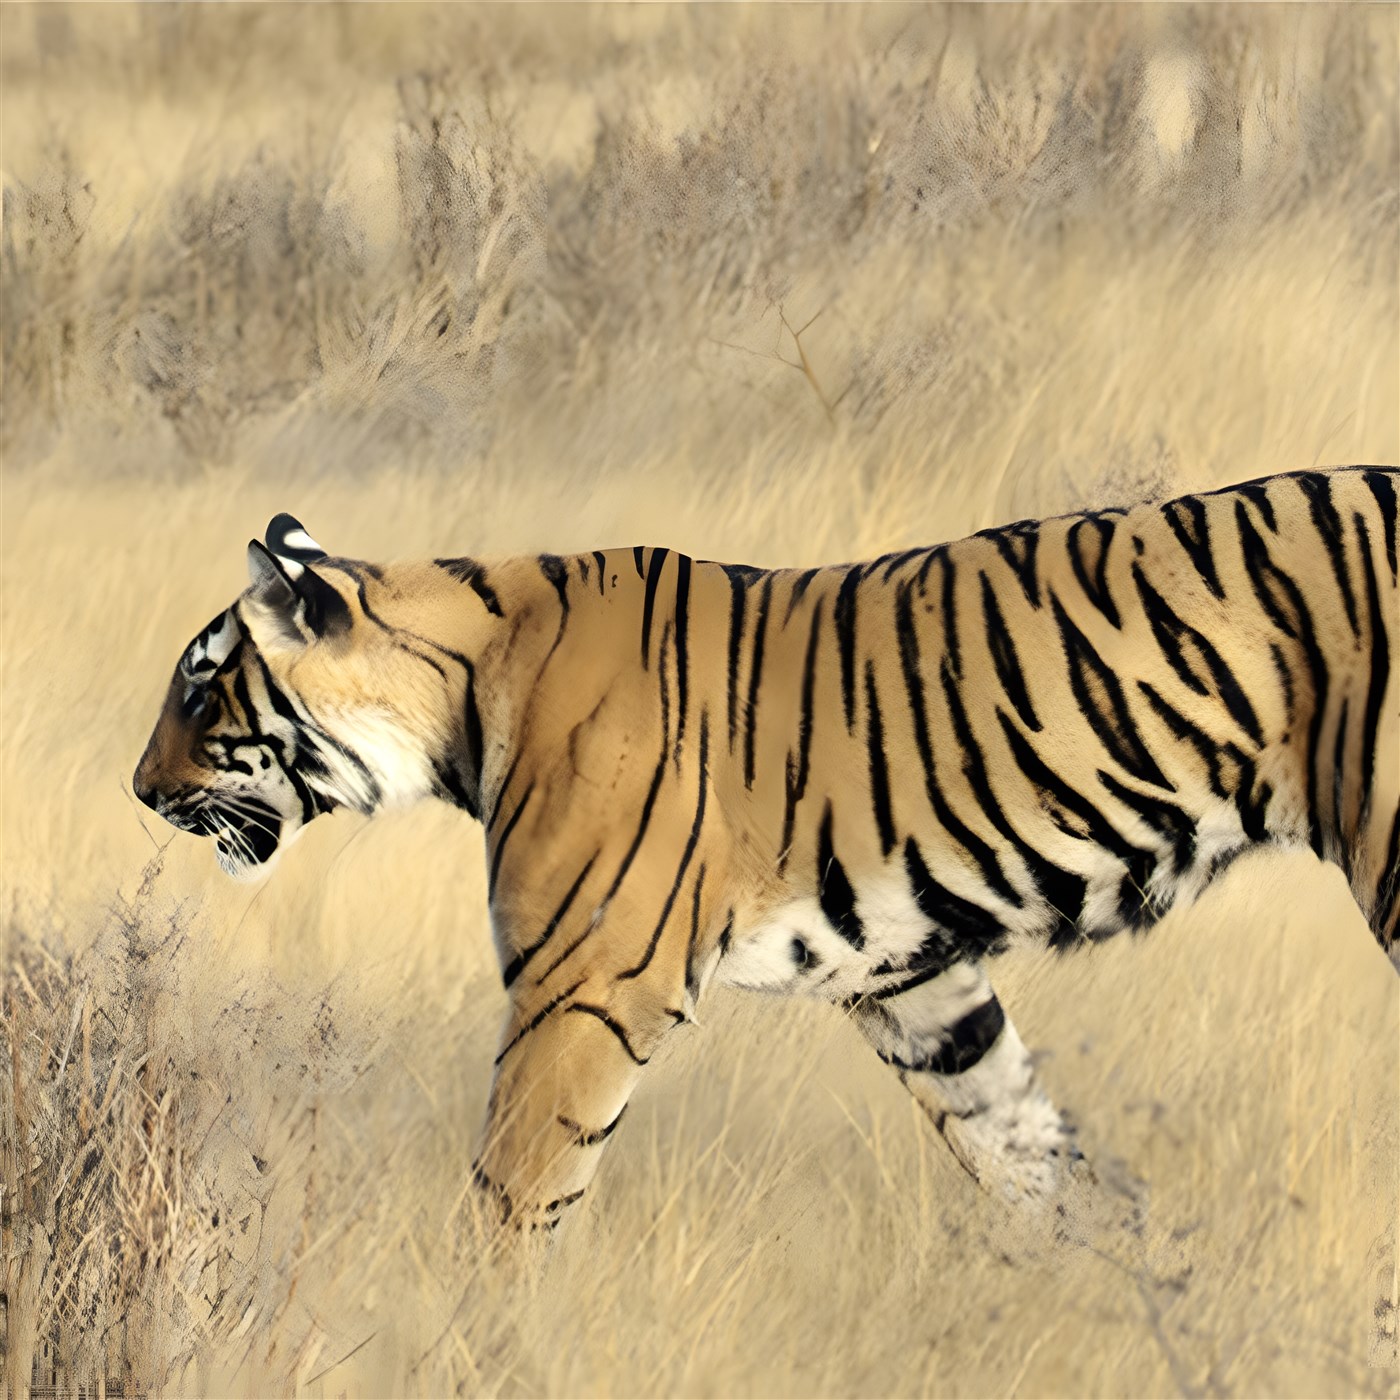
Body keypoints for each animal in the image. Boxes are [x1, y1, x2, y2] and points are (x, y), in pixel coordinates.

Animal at [134, 466, 1399, 1233]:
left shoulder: (583, 983)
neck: (463, 684)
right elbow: (1014, 1137)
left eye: (199, 688)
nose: (139, 792)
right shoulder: (915, 978)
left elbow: (519, 1186)